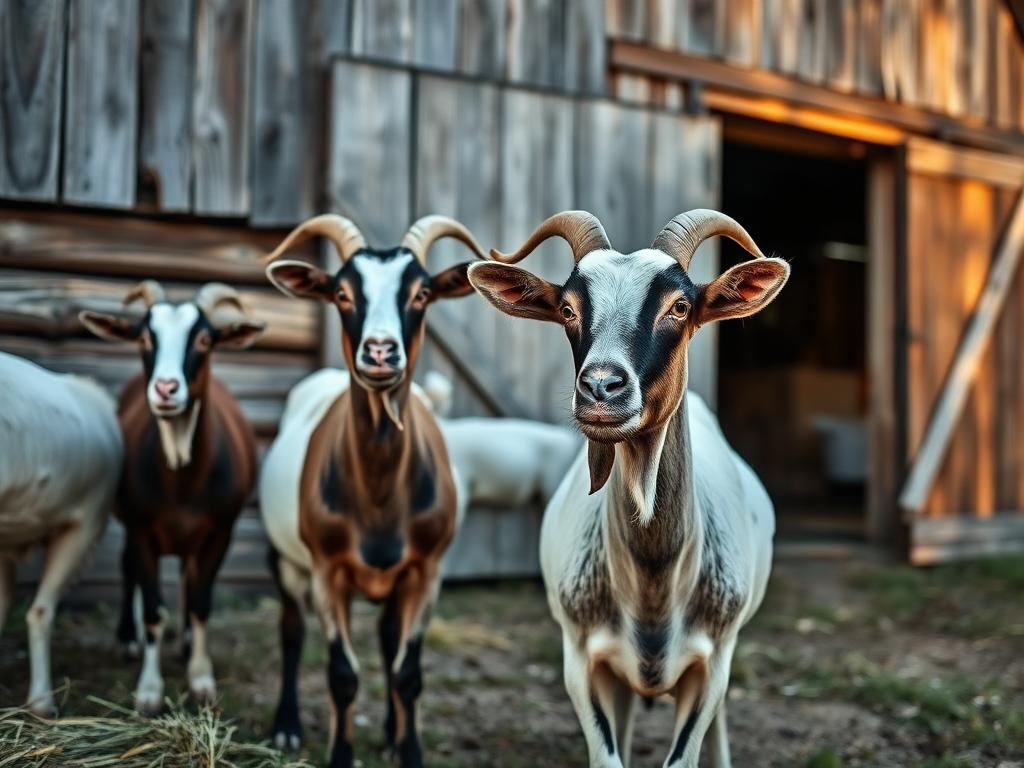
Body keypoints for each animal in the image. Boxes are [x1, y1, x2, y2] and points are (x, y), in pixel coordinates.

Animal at [79, 282, 265, 714]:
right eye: (145, 338)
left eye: (204, 339)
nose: (166, 388)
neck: (182, 483)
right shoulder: (141, 529)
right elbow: (152, 610)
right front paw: (149, 691)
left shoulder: (221, 532)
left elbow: (200, 603)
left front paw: (201, 679)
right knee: (128, 567)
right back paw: (127, 640)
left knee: (187, 577)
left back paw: (185, 643)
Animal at [260, 214, 484, 768]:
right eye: (342, 293)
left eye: (421, 292)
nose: (380, 351)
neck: (380, 498)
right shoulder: (327, 571)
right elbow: (341, 674)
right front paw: (340, 755)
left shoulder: (426, 571)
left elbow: (408, 673)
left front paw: (409, 751)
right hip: (286, 559)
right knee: (291, 630)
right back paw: (286, 727)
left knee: (387, 641)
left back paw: (388, 732)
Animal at [468, 210, 789, 768]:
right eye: (568, 309)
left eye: (680, 306)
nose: (601, 387)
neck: (653, 588)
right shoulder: (581, 660)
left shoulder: (712, 664)